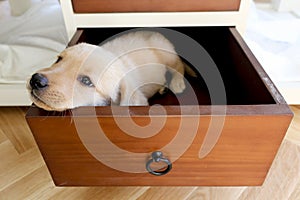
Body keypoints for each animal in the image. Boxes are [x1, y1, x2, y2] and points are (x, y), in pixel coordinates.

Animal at [27, 30, 197, 111]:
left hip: (166, 52)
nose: (36, 80)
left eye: (86, 81)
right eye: (59, 59)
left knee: (178, 65)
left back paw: (177, 82)